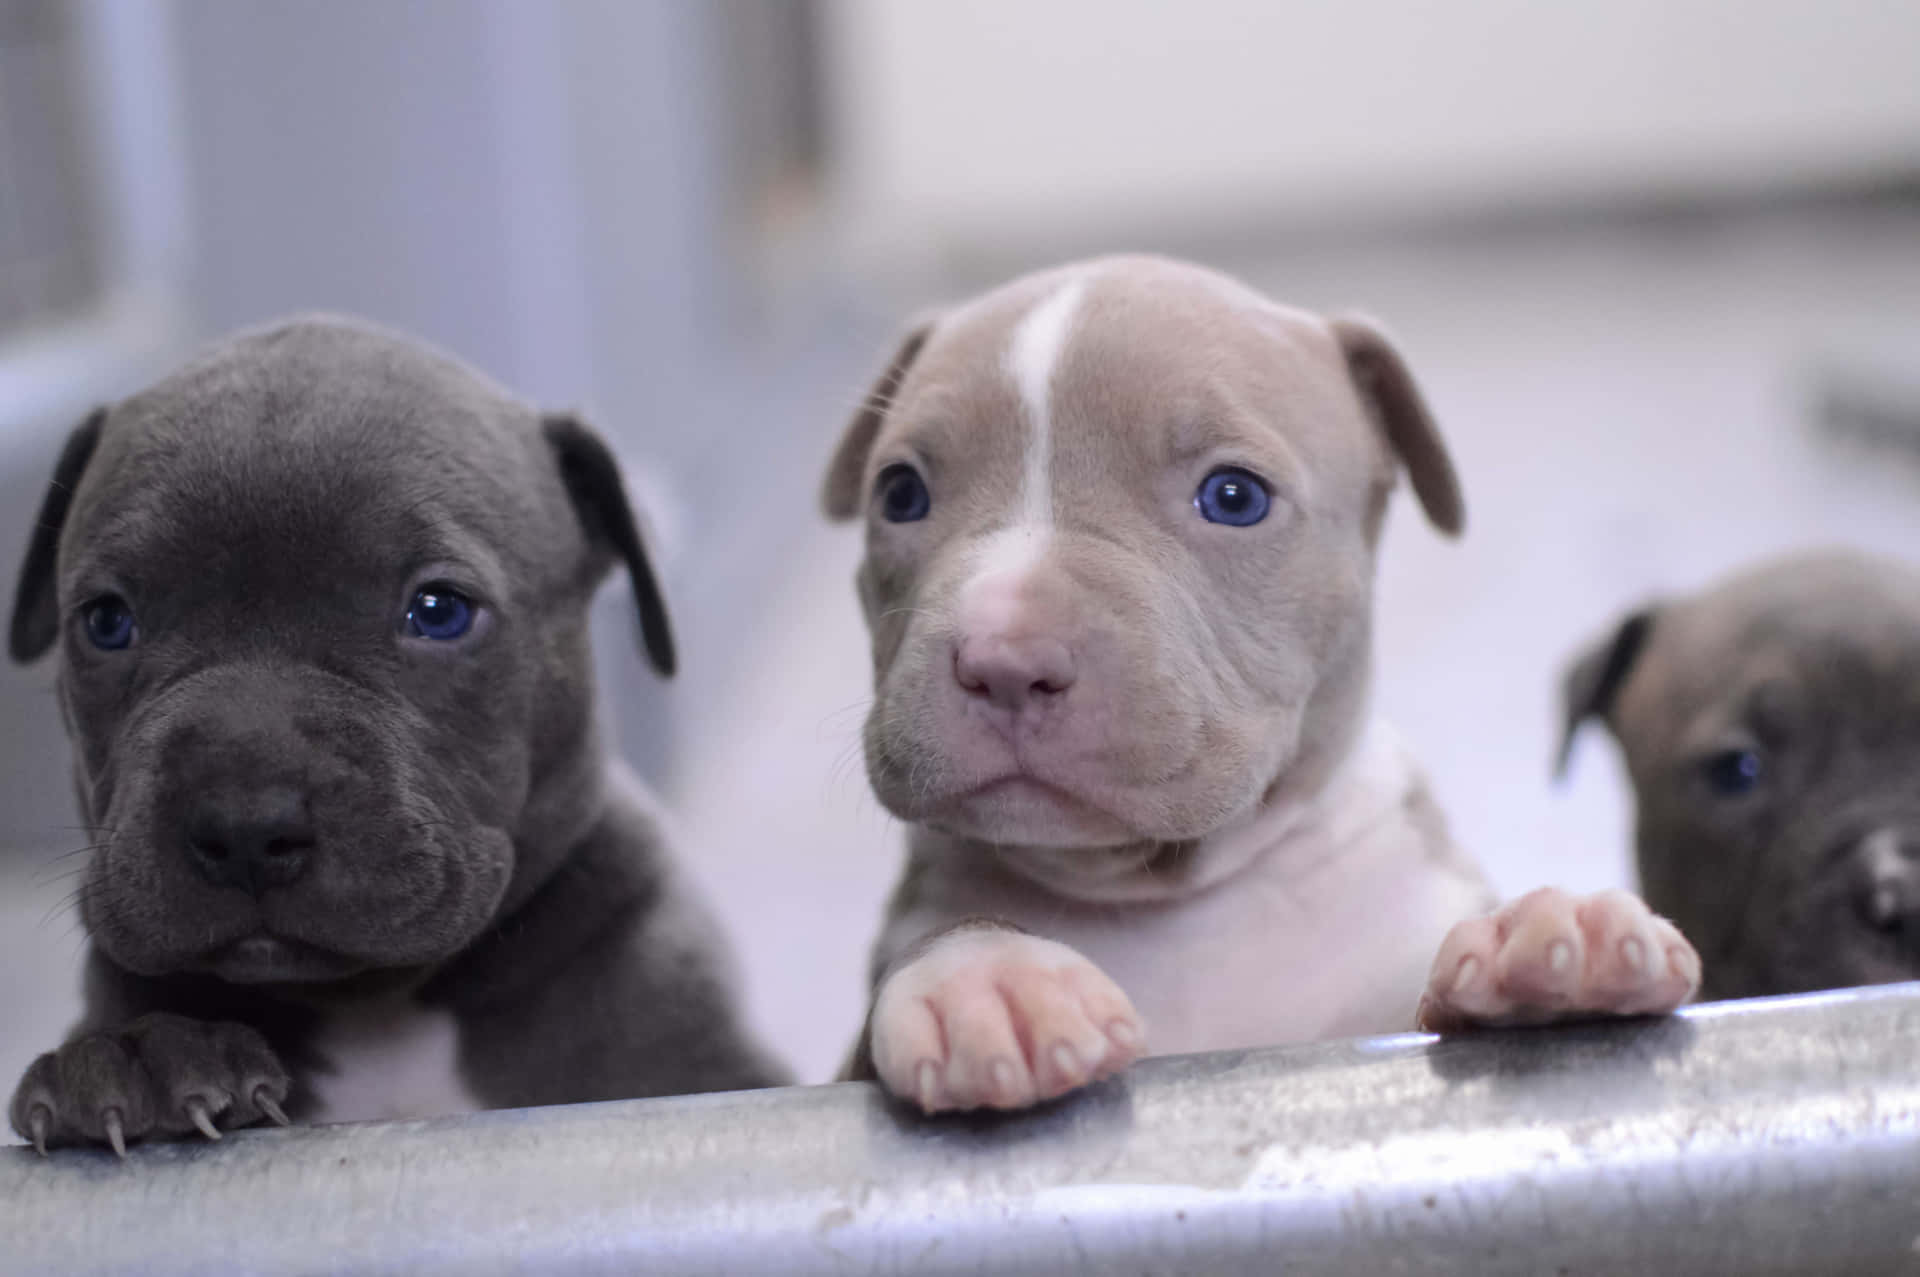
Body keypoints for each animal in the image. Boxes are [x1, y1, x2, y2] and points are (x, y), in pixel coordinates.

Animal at [825, 257, 1697, 1106]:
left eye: (1234, 496)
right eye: (900, 493)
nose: (1005, 659)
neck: (1175, 904)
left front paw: (1549, 936)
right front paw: (987, 973)